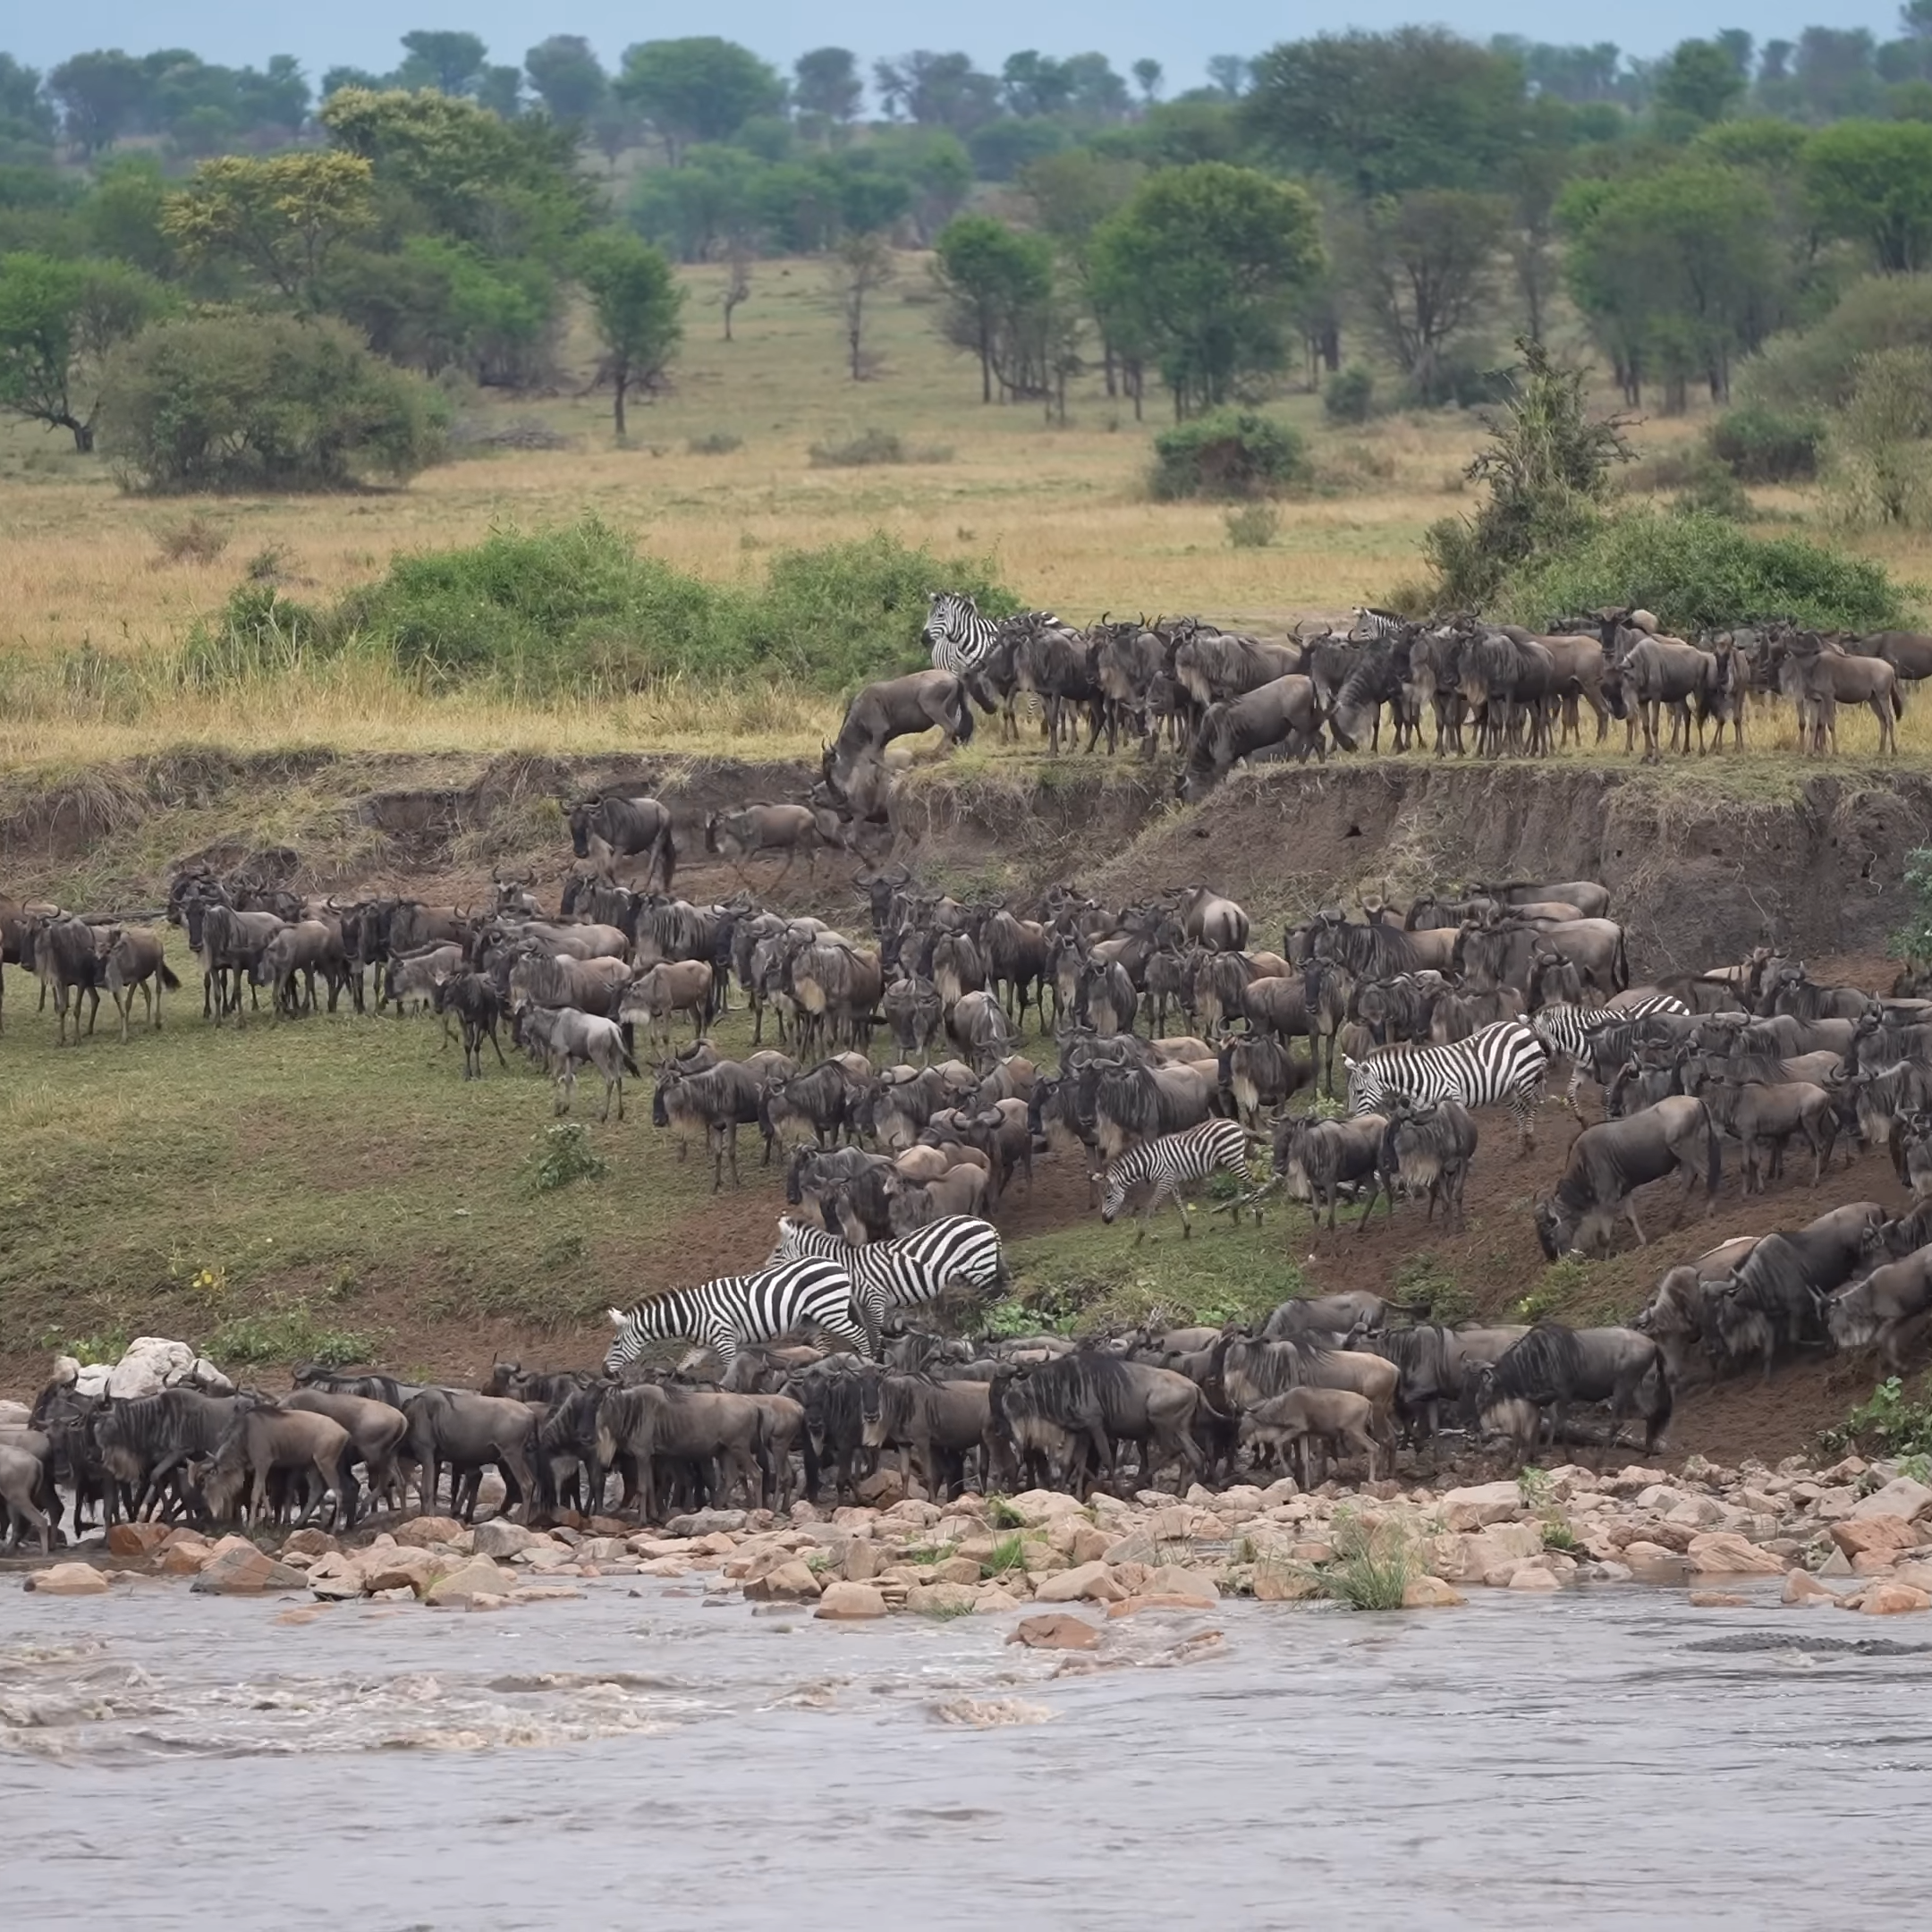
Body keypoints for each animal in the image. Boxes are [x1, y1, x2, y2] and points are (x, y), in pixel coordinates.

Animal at [602, 1251, 869, 1375]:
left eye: (615, 1343)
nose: (604, 1370)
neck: (691, 1315)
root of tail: (835, 1263)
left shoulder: (725, 1340)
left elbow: (729, 1371)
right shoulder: (702, 1346)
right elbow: (682, 1366)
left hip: (830, 1311)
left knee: (859, 1335)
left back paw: (867, 1363)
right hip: (813, 1318)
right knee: (824, 1346)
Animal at [765, 1205, 1020, 1344]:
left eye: (777, 1251)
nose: (764, 1268)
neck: (850, 1267)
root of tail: (984, 1223)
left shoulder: (875, 1300)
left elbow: (876, 1335)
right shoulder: (862, 1305)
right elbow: (868, 1333)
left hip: (982, 1271)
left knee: (999, 1301)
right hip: (976, 1273)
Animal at [1097, 1113, 1259, 1244]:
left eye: (1108, 1197)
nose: (1104, 1220)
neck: (1149, 1163)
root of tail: (1234, 1123)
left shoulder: (1165, 1180)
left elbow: (1151, 1204)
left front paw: (1140, 1236)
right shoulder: (1171, 1180)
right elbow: (1178, 1204)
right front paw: (1186, 1229)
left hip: (1232, 1156)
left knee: (1250, 1179)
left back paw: (1258, 1215)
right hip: (1232, 1158)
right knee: (1240, 1179)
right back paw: (1236, 1212)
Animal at [1344, 1020, 1553, 1151]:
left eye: (1359, 1092)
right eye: (1351, 1092)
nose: (1354, 1118)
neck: (1418, 1079)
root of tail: (1519, 1026)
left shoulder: (1453, 1098)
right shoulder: (1423, 1111)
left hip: (1526, 1077)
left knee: (1533, 1103)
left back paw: (1530, 1139)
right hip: (1506, 1090)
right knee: (1520, 1110)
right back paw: (1522, 1144)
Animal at [1530, 996, 1684, 1120]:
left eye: (1539, 1043)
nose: (1537, 1076)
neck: (1583, 1039)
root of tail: (1673, 998)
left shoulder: (1609, 1074)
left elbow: (1607, 1099)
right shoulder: (1583, 1069)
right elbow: (1571, 1093)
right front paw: (1583, 1121)